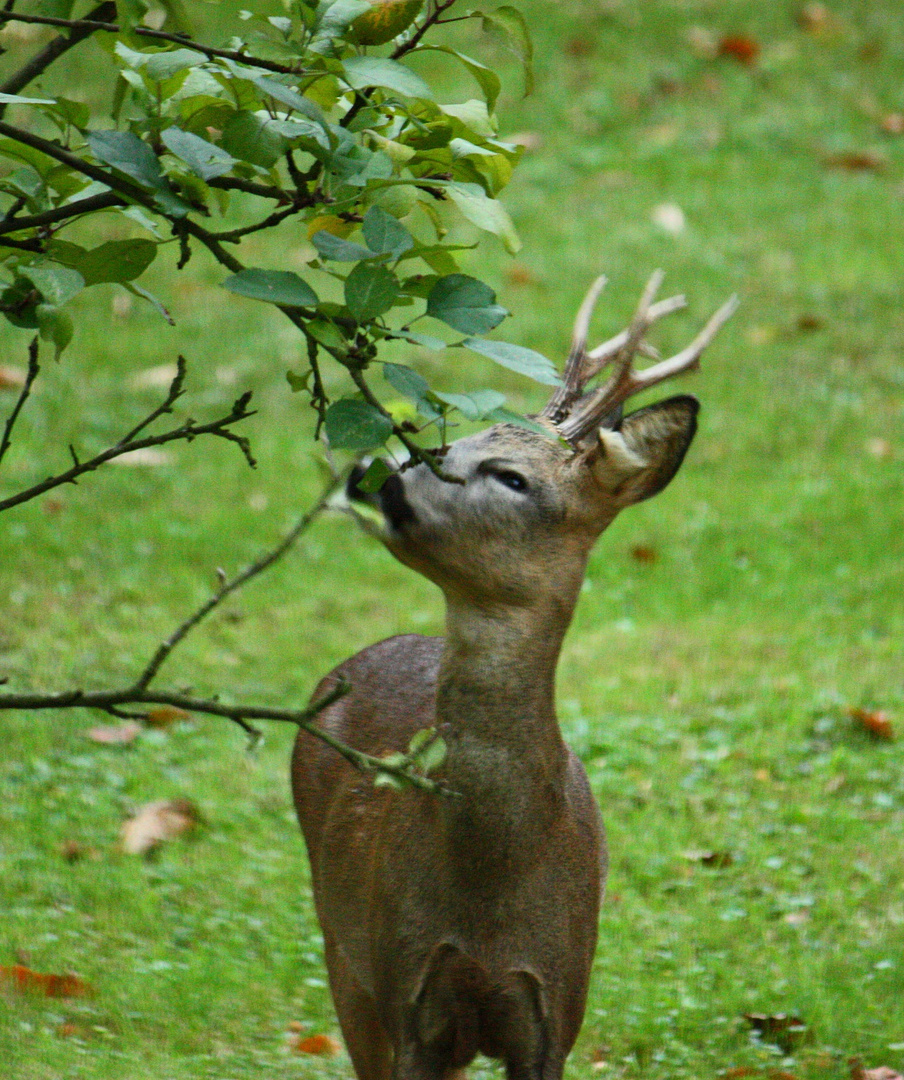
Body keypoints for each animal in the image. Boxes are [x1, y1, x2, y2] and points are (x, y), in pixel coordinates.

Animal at [293, 274, 738, 1080]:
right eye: (447, 440)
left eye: (511, 477)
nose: (377, 475)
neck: (492, 881)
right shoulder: (406, 986)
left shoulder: (556, 1002)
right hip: (341, 944)